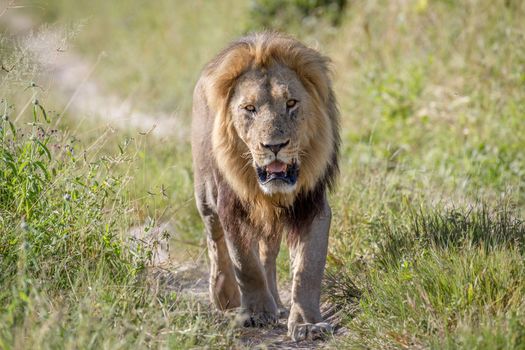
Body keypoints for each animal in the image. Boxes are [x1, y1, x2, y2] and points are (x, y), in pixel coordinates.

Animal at [190, 32, 338, 342]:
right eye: (250, 109)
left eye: (291, 103)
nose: (274, 146)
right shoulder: (231, 206)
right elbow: (244, 262)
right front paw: (257, 312)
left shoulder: (312, 205)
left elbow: (308, 268)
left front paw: (307, 323)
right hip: (205, 196)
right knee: (215, 240)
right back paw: (225, 296)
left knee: (267, 254)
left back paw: (278, 304)